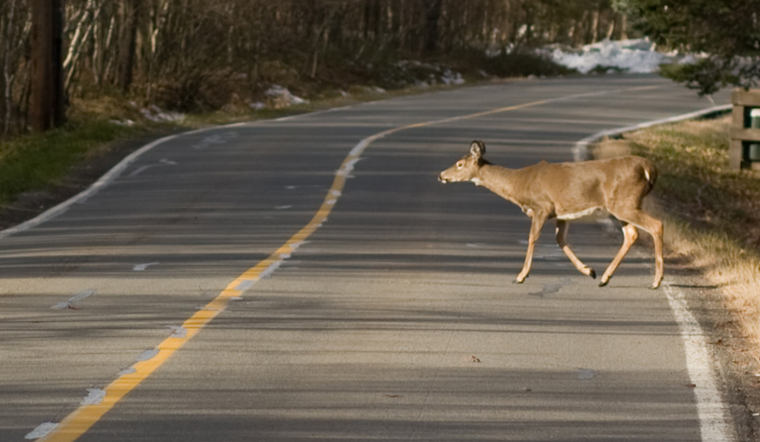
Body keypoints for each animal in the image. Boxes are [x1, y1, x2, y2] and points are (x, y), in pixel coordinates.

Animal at [438, 140, 663, 289]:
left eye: (459, 164)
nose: (441, 175)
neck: (518, 184)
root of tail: (648, 167)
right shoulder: (561, 214)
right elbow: (560, 240)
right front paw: (589, 270)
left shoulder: (542, 207)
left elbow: (532, 238)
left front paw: (521, 275)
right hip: (620, 207)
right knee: (632, 234)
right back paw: (604, 278)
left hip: (625, 203)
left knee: (656, 225)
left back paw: (655, 281)